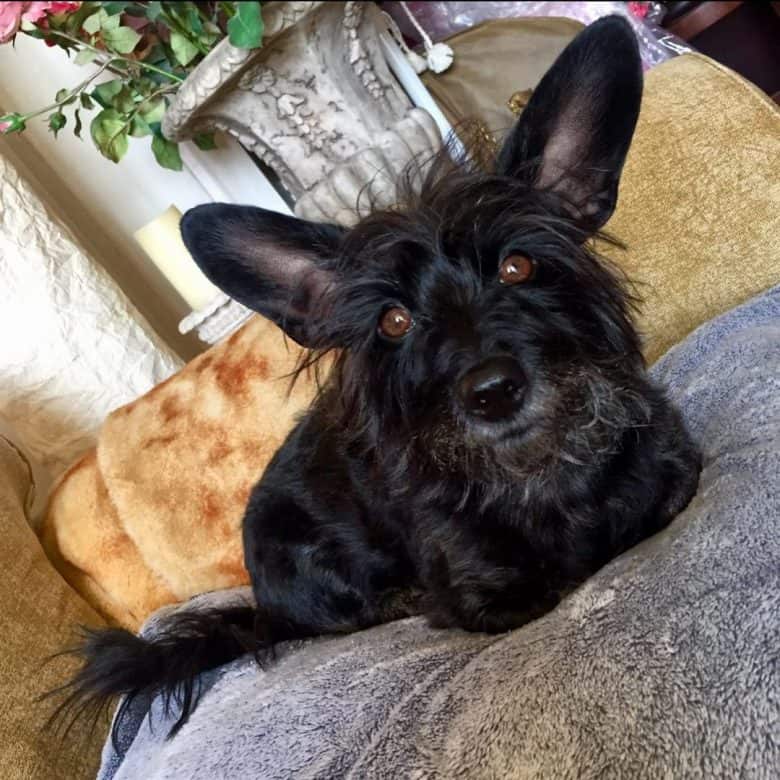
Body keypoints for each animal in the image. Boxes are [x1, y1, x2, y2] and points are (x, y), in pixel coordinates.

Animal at [58, 16, 696, 736]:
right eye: (393, 321)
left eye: (518, 267)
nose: (492, 391)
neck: (535, 471)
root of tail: (261, 604)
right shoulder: (491, 598)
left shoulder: (674, 474)